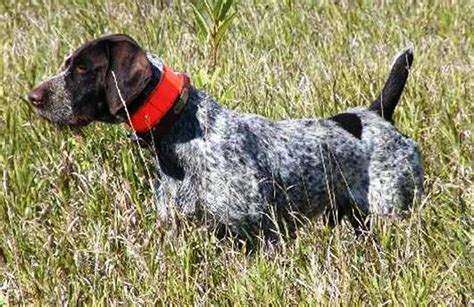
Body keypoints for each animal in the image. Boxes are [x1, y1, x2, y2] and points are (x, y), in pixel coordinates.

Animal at [27, 34, 424, 241]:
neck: (180, 136)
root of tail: (375, 114)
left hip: (393, 209)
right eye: (67, 64)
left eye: (82, 68)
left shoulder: (254, 233)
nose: (32, 97)